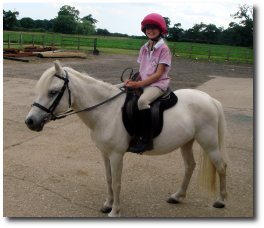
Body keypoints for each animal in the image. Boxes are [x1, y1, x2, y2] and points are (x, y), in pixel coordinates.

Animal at [26, 61, 229, 217]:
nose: (30, 121)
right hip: (186, 142)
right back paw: (177, 196)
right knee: (190, 166)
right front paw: (107, 205)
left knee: (221, 166)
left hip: (209, 143)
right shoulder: (104, 153)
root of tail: (210, 99)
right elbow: (108, 179)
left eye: (52, 92)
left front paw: (115, 211)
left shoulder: (117, 155)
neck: (106, 111)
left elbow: (117, 183)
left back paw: (220, 200)